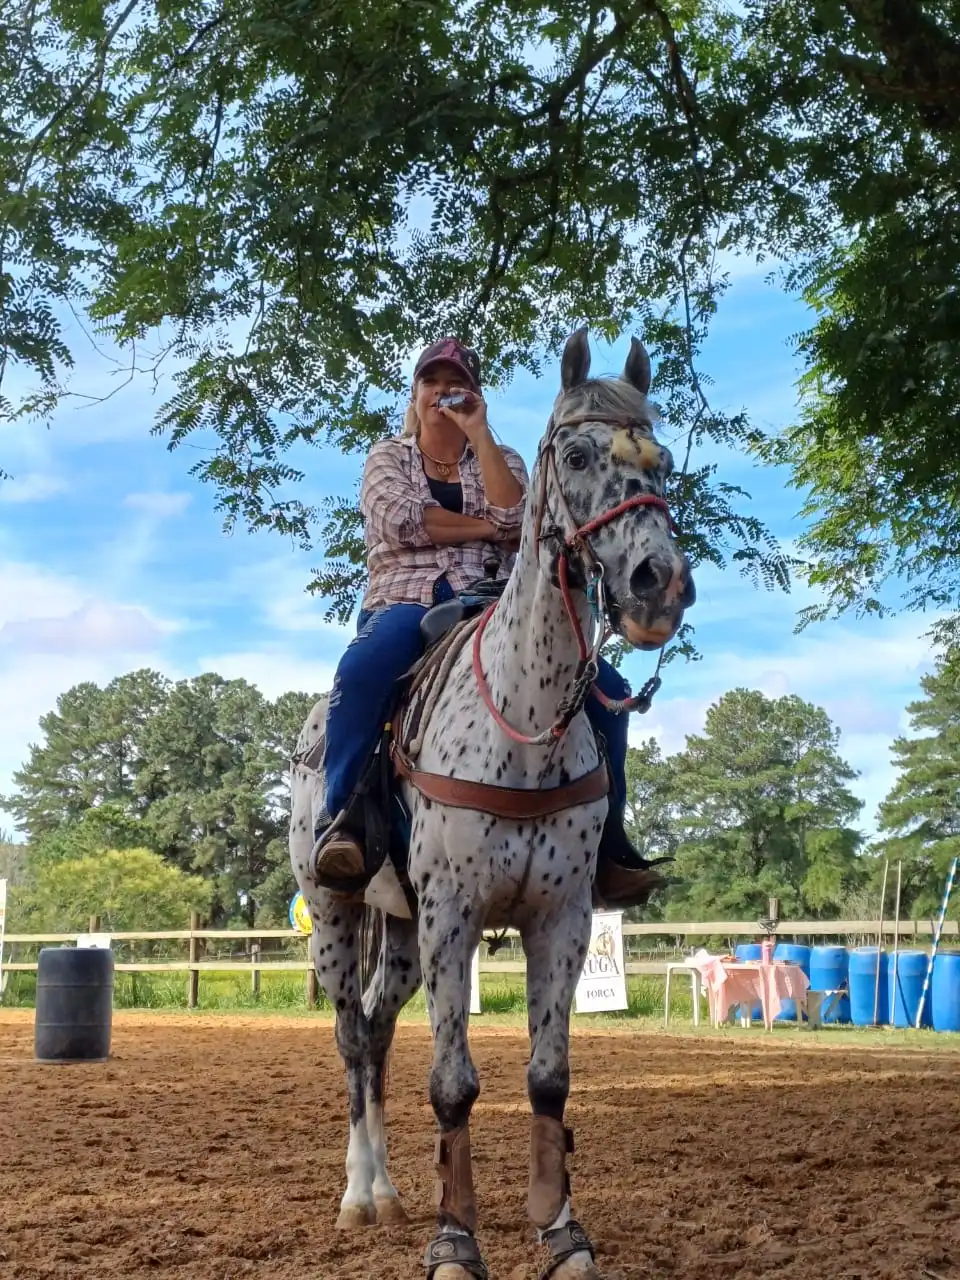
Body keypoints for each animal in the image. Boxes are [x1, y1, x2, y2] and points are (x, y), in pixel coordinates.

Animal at [289, 326, 695, 1280]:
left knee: (378, 1027)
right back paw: (360, 1195)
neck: (524, 722)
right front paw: (454, 1241)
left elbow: (548, 1080)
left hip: (399, 930)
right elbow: (453, 1085)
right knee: (351, 1038)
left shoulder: (561, 917)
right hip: (336, 910)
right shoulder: (455, 913)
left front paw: (561, 1230)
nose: (658, 582)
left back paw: (389, 1189)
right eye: (577, 455)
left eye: (663, 461)